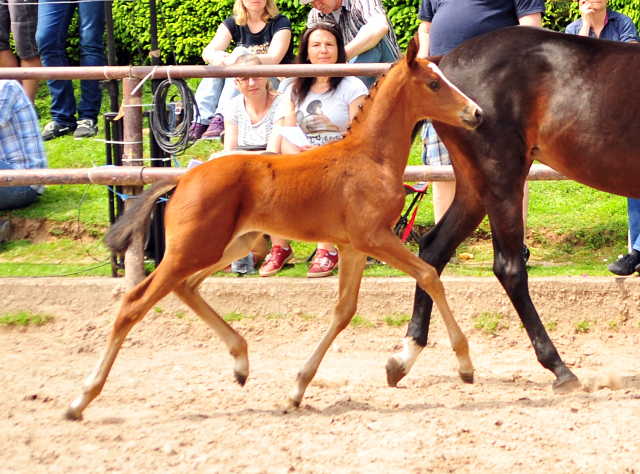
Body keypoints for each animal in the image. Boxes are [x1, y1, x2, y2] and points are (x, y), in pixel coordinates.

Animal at [66, 38, 480, 422]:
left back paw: (240, 363)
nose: (475, 113)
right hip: (194, 249)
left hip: (229, 246)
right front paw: (464, 365)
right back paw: (81, 399)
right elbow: (428, 275)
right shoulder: (374, 238)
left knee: (187, 287)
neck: (370, 158)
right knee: (135, 302)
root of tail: (183, 178)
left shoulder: (352, 247)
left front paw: (298, 389)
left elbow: (345, 310)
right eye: (433, 84)